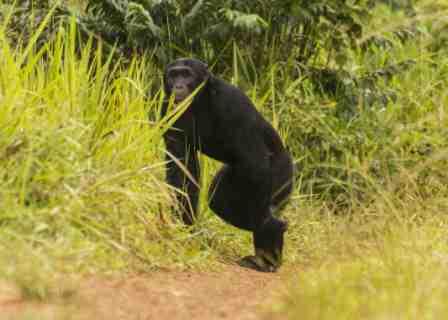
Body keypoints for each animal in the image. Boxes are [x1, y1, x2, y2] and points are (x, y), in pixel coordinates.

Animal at [161, 57, 294, 272]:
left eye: (186, 74)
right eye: (174, 74)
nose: (178, 85)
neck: (200, 100)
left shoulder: (233, 102)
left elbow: (255, 160)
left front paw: (267, 226)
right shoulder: (169, 108)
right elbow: (182, 167)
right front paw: (187, 228)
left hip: (282, 174)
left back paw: (267, 251)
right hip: (233, 176)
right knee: (219, 201)